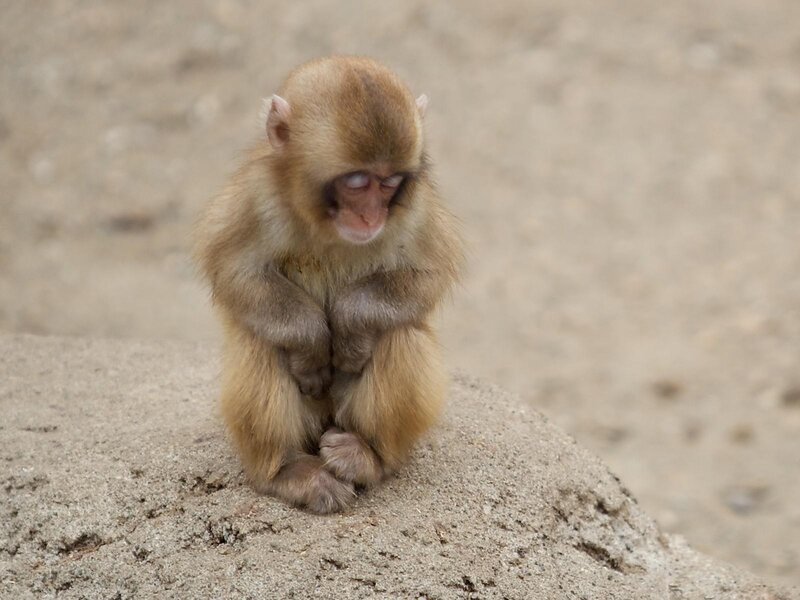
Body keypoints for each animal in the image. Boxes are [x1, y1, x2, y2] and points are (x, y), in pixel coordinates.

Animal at [194, 56, 463, 514]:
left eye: (389, 182)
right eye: (356, 182)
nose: (371, 216)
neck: (324, 225)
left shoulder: (416, 207)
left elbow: (428, 274)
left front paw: (350, 328)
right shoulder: (255, 195)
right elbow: (234, 269)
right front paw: (311, 344)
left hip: (343, 412)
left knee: (400, 334)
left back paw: (368, 456)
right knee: (259, 341)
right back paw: (287, 471)